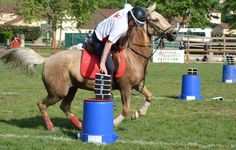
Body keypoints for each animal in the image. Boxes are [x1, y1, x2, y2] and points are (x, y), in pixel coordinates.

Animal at [0, 2, 176, 131]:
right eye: (156, 19)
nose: (174, 33)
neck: (133, 55)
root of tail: (46, 60)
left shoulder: (137, 84)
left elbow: (149, 96)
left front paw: (139, 113)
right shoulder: (125, 87)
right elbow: (126, 109)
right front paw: (115, 122)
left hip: (72, 88)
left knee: (65, 107)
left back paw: (80, 126)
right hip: (58, 91)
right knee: (42, 104)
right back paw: (51, 127)